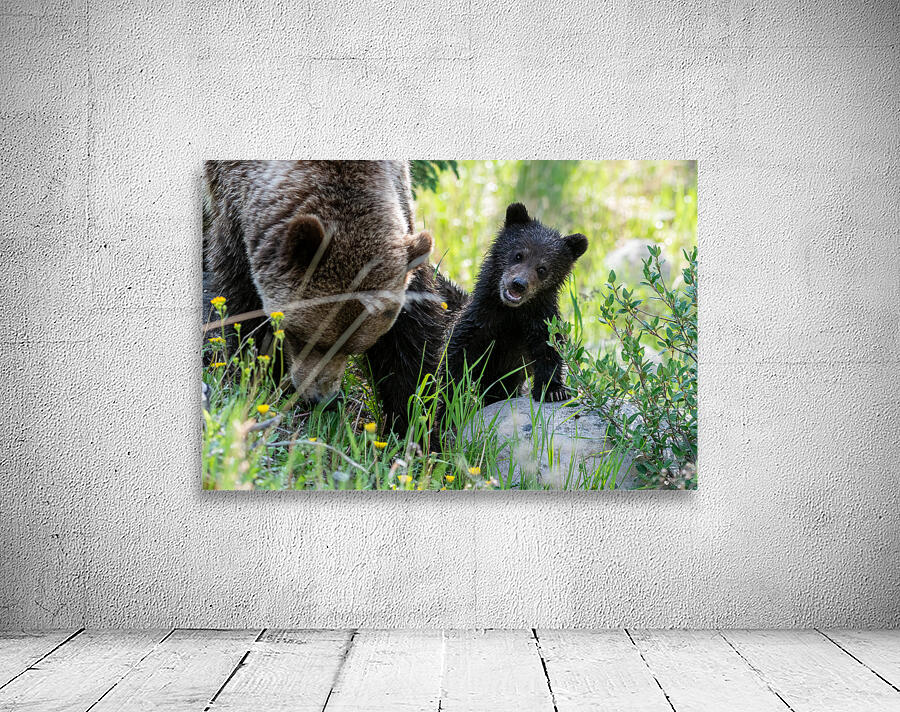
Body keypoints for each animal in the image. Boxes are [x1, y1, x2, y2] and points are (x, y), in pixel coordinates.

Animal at [203, 160, 434, 404]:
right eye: (301, 337)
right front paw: (264, 372)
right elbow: (244, 300)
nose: (322, 399)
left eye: (353, 348)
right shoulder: (232, 210)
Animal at [446, 202, 588, 406]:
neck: (512, 312)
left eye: (542, 269)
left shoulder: (539, 319)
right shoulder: (481, 318)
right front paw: (450, 395)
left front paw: (553, 390)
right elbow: (457, 354)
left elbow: (549, 349)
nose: (519, 284)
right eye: (519, 255)